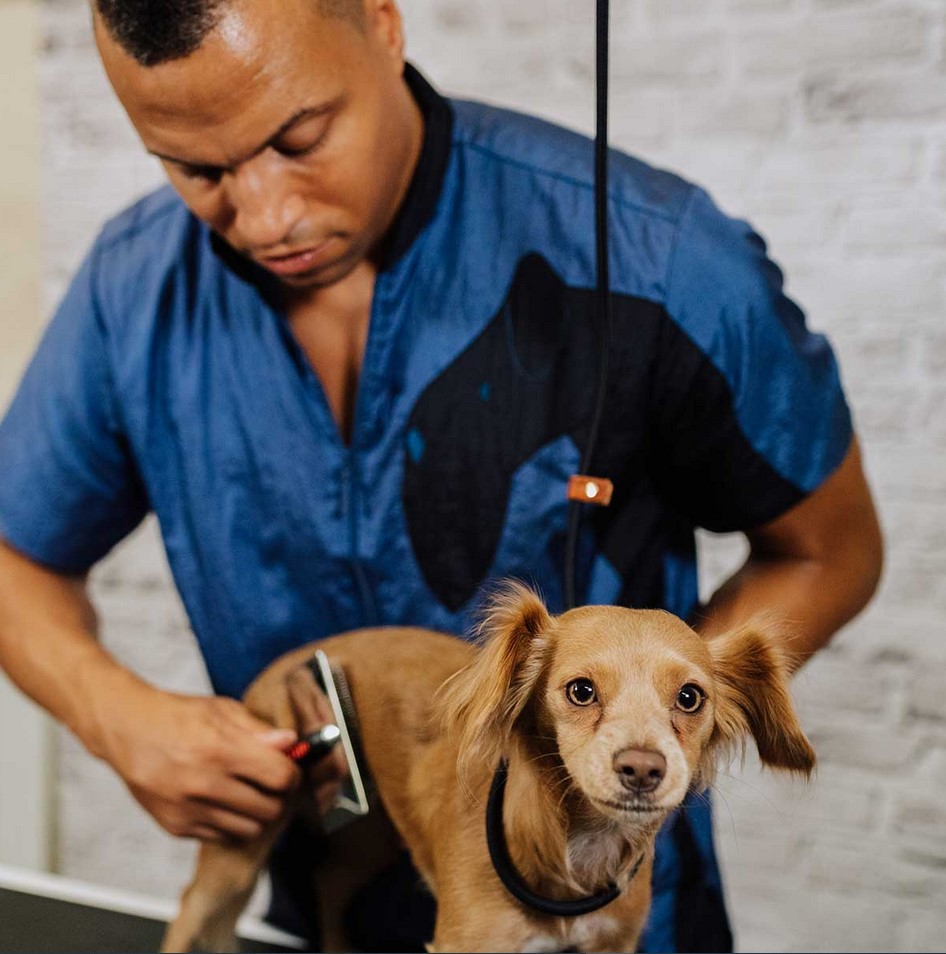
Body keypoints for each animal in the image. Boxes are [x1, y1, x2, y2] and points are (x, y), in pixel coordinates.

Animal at [162, 584, 812, 948]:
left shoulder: (613, 943)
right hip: (241, 839)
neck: (572, 848)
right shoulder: (467, 941)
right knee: (195, 910)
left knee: (330, 880)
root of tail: (287, 663)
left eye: (690, 698)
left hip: (378, 830)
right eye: (580, 691)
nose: (643, 768)